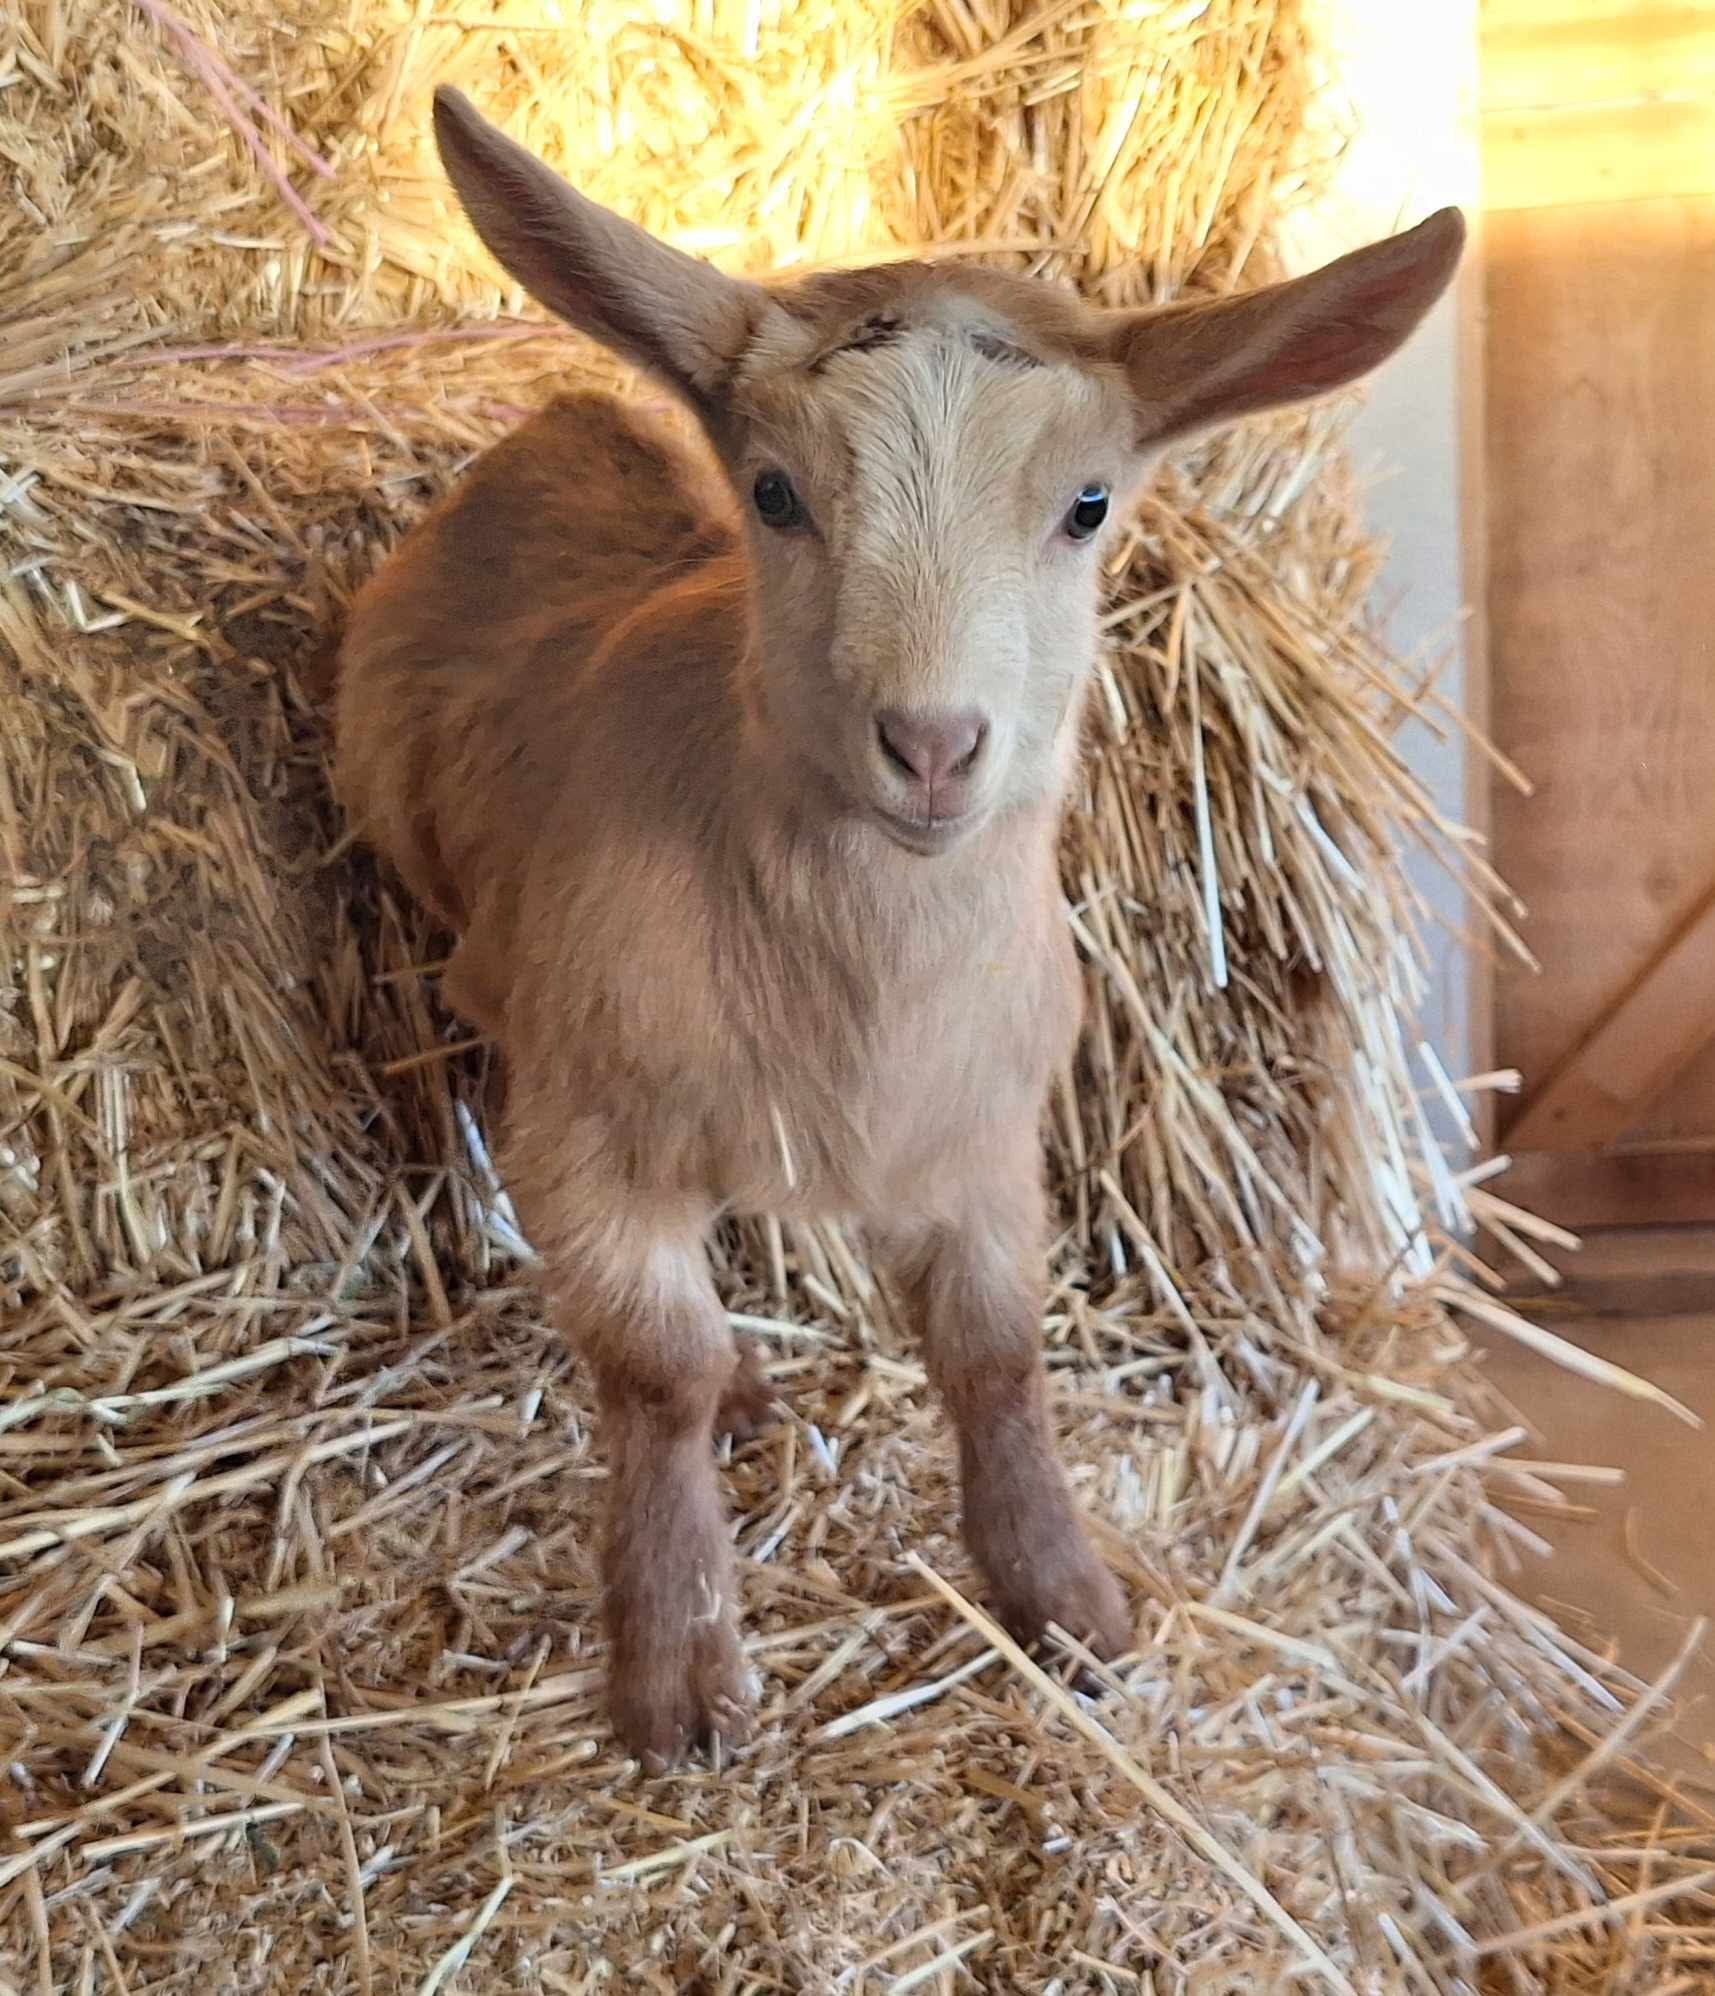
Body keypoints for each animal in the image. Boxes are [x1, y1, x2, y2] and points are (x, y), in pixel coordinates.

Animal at [335, 84, 1463, 1765]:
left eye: (1084, 505)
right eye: (774, 492)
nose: (931, 747)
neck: (857, 994)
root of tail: (564, 423)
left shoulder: (988, 1137)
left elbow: (995, 1355)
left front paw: (1066, 1603)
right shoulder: (589, 1136)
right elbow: (655, 1374)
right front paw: (674, 1669)